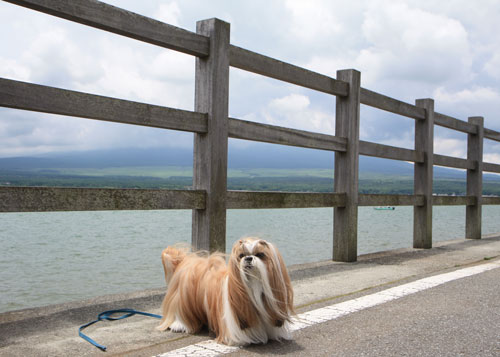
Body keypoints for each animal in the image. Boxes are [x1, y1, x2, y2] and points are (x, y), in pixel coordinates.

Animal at [157, 236, 292, 344]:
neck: (254, 286)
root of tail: (186, 261)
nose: (248, 258)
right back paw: (179, 325)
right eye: (241, 255)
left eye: (260, 255)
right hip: (181, 301)